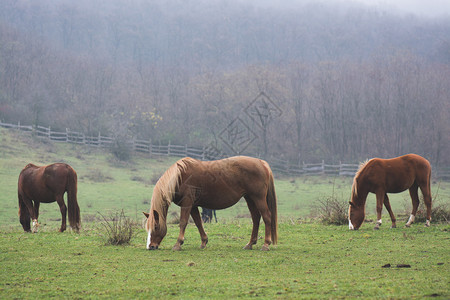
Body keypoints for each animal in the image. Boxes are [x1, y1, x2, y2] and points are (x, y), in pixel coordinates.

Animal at [144, 156, 278, 252]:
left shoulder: (187, 203)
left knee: (267, 217)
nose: (150, 246)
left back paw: (266, 244)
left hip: (258, 198)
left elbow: (183, 222)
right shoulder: (193, 205)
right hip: (250, 198)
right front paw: (204, 242)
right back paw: (250, 244)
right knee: (256, 218)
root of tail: (262, 163)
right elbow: (198, 222)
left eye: (155, 227)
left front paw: (178, 244)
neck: (179, 177)